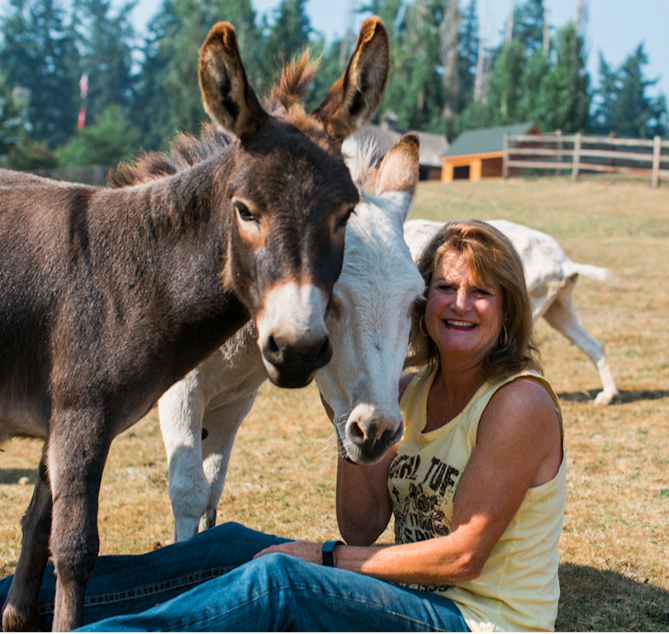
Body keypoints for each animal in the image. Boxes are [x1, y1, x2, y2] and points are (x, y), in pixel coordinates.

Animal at [159, 133, 426, 540]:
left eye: (415, 303)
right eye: (327, 299)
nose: (377, 430)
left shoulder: (230, 404)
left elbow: (212, 491)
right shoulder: (181, 394)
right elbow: (189, 493)